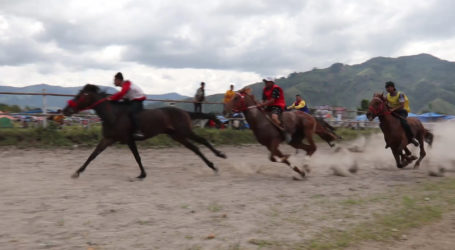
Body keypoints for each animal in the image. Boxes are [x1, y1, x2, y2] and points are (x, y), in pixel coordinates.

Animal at [63, 85, 227, 179]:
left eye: (80, 96)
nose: (65, 111)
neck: (113, 115)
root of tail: (184, 112)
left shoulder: (129, 139)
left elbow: (137, 157)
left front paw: (142, 174)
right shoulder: (108, 139)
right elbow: (93, 155)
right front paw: (77, 171)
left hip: (184, 131)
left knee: (202, 141)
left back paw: (220, 156)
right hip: (178, 136)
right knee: (195, 148)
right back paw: (213, 166)